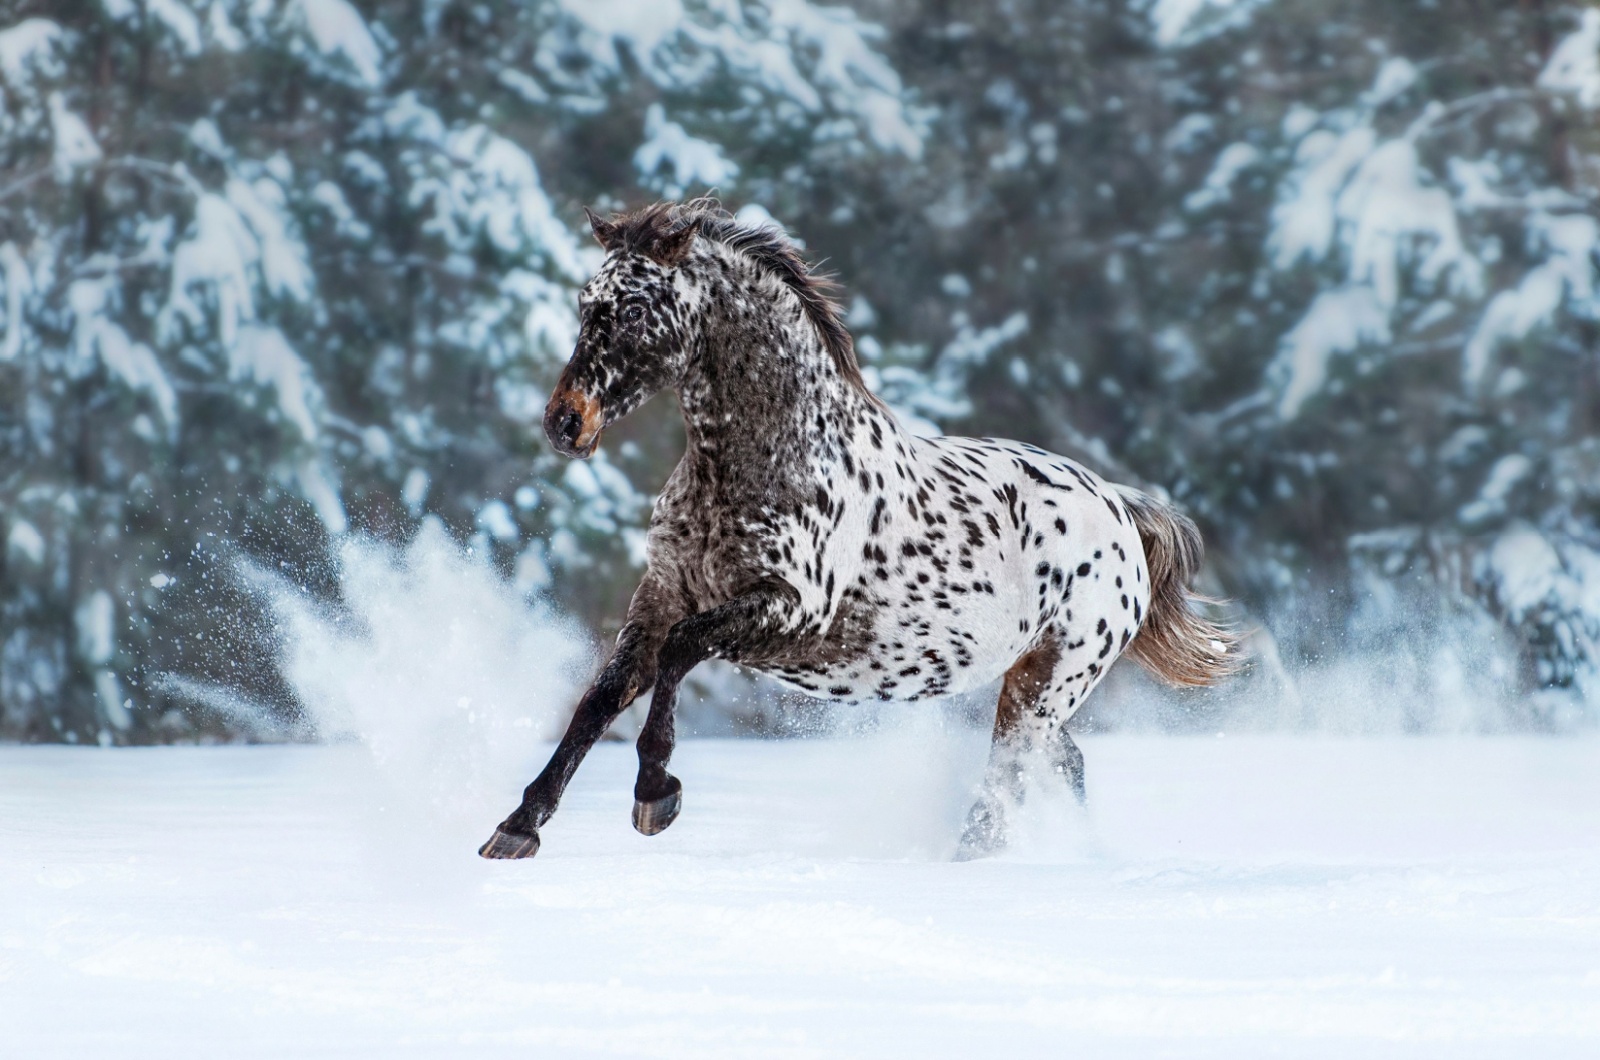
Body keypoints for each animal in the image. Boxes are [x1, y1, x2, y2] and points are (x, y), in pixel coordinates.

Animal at [476, 199, 1235, 864]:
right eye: (585, 304)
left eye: (634, 307)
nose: (565, 422)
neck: (765, 460)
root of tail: (1121, 509)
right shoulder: (660, 600)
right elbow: (600, 699)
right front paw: (518, 827)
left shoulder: (790, 611)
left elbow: (680, 654)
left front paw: (655, 795)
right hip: (1030, 684)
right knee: (1061, 765)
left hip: (1053, 680)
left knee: (1011, 774)